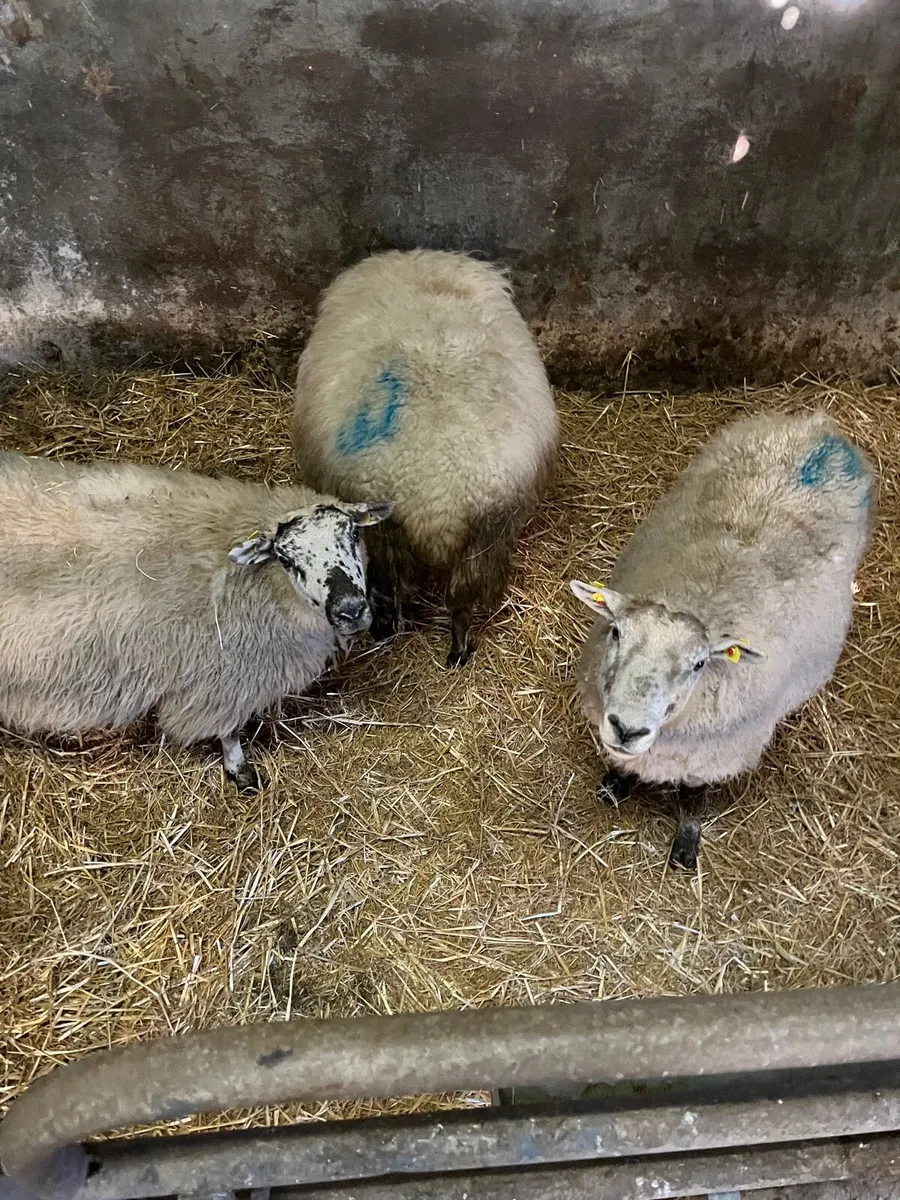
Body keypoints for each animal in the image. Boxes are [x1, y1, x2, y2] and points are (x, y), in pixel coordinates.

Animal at [0, 450, 392, 792]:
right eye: (286, 559)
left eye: (353, 534)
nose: (350, 610)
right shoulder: (223, 680)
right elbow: (229, 732)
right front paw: (241, 773)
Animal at [293, 248, 559, 667]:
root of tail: (438, 502)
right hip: (486, 539)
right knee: (460, 604)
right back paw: (458, 651)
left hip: (382, 538)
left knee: (389, 591)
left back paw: (386, 631)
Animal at [570, 410, 875, 870]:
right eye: (617, 632)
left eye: (699, 664)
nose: (628, 728)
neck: (699, 600)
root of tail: (819, 428)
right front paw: (616, 781)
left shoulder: (710, 756)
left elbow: (692, 800)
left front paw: (686, 845)